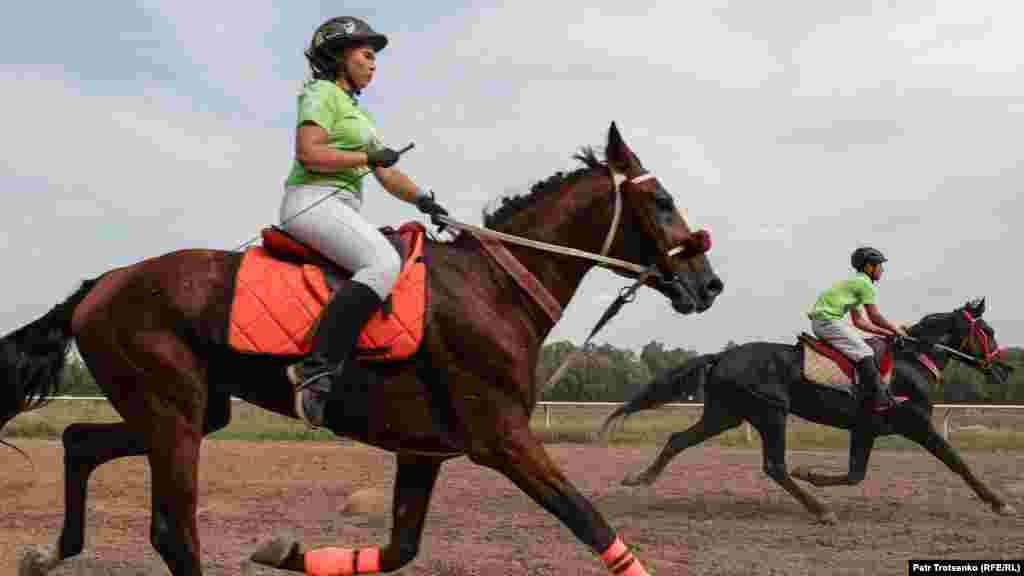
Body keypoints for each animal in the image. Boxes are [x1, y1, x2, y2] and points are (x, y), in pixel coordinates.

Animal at [2, 121, 720, 573]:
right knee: (174, 535)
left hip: (191, 411)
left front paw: (286, 553)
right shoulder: (504, 440)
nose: (708, 283)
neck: (493, 288)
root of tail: (103, 284)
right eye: (662, 201)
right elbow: (589, 521)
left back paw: (46, 552)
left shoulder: (425, 450)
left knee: (77, 441)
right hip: (172, 414)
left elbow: (400, 548)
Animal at [598, 297, 1015, 522]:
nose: (1004, 369)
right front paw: (1000, 503)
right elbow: (958, 462)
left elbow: (854, 474)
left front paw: (812, 473)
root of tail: (721, 357)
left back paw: (641, 478)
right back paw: (820, 510)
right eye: (987, 331)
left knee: (678, 439)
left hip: (725, 414)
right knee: (774, 466)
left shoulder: (865, 429)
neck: (910, 361)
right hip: (771, 413)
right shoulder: (917, 425)